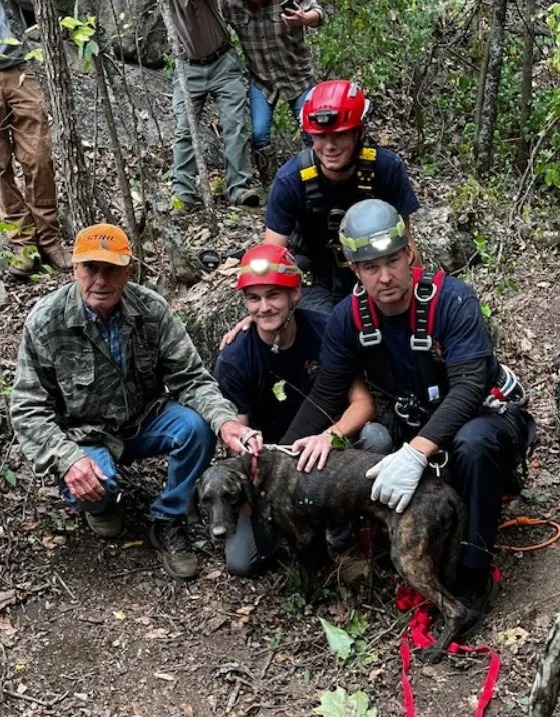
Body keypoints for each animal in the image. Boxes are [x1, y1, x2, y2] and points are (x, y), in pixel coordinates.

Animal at [199, 444, 470, 664]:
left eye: (230, 496)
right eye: (205, 500)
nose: (219, 533)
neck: (259, 469)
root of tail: (448, 493)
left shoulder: (303, 536)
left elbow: (306, 577)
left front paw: (304, 601)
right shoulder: (316, 532)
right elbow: (321, 562)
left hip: (408, 559)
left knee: (456, 608)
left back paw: (435, 651)